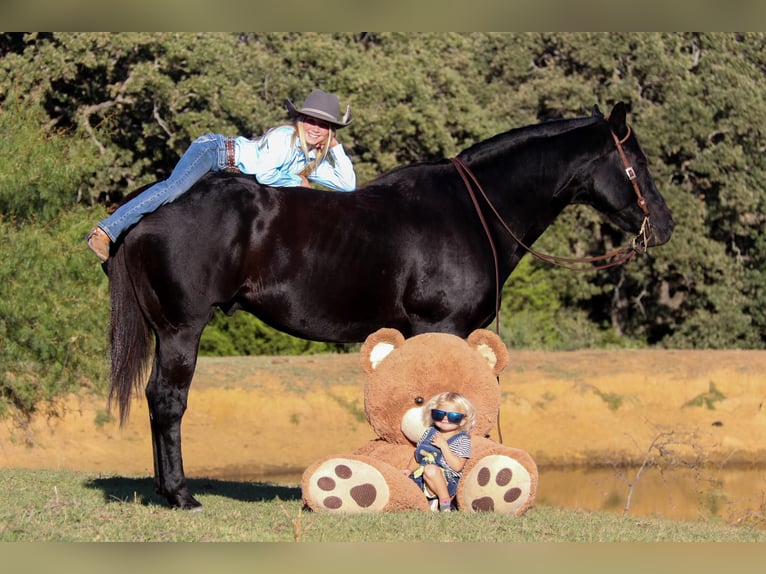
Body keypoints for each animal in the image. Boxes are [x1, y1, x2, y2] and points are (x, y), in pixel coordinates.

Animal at [105, 102, 676, 508]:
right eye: (637, 163)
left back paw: (163, 490)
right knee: (169, 401)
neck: (470, 214)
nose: (665, 225)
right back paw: (181, 495)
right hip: (182, 329)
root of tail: (149, 205)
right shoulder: (440, 324)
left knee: (157, 398)